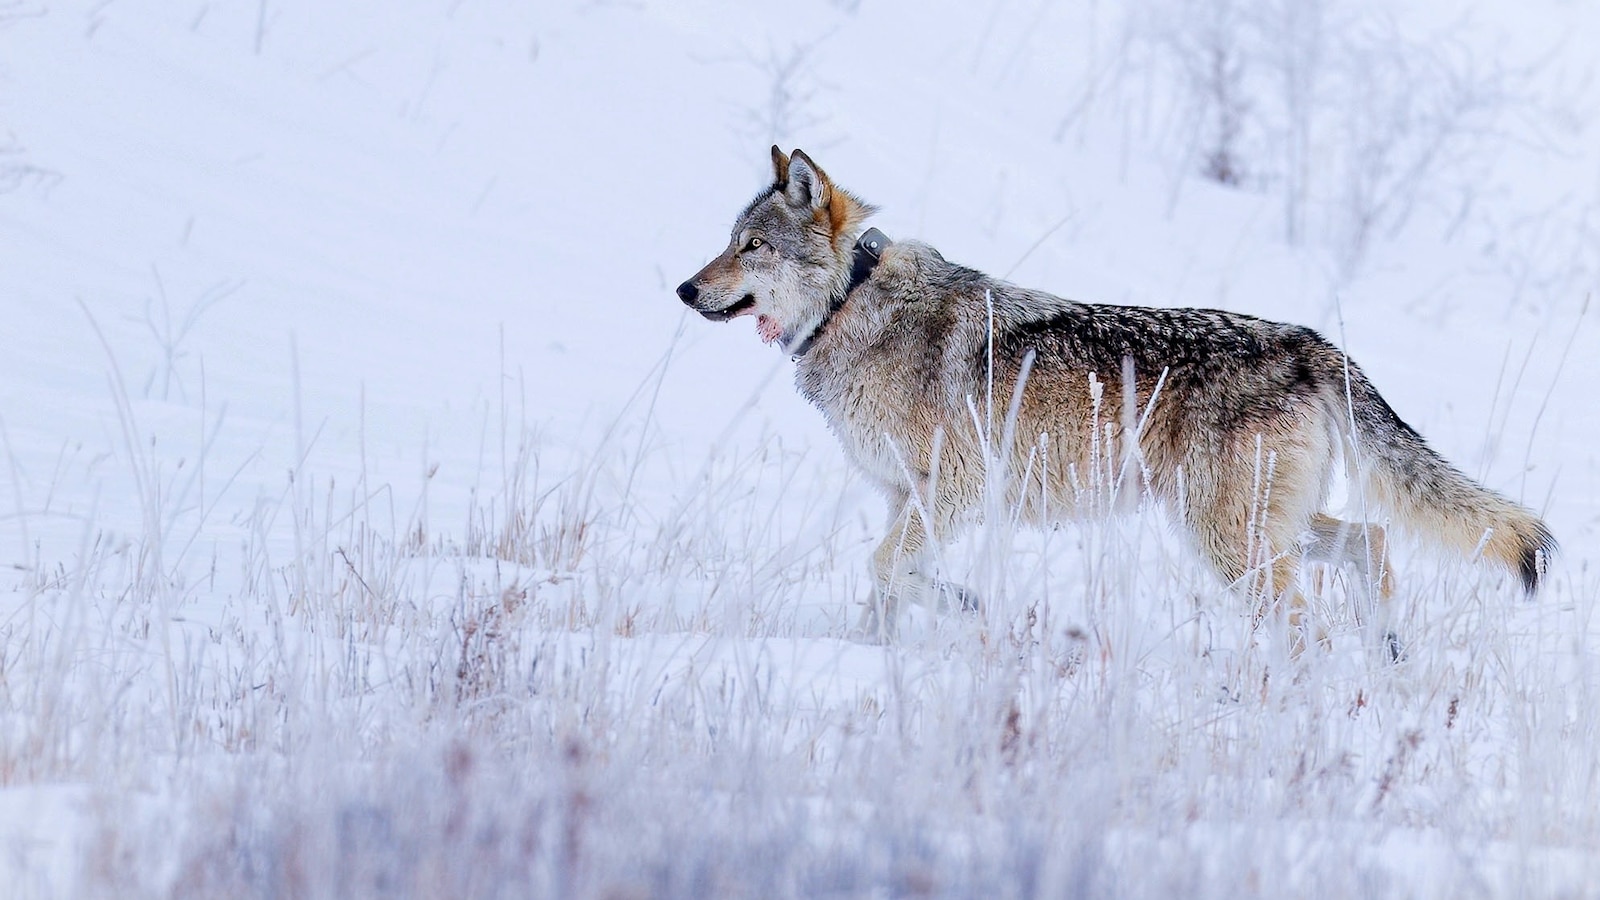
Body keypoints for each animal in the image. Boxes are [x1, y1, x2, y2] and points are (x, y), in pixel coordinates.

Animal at [676, 146, 1556, 646]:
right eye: (728, 240)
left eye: (752, 247)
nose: (685, 289)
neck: (853, 304)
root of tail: (1315, 345)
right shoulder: (904, 498)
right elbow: (882, 589)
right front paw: (869, 659)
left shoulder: (951, 492)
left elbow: (889, 570)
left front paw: (964, 606)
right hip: (1255, 526)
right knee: (1372, 545)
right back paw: (1384, 658)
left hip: (1227, 539)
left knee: (1306, 616)